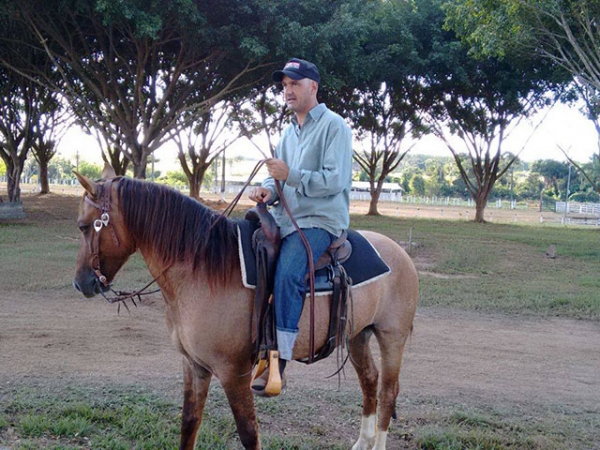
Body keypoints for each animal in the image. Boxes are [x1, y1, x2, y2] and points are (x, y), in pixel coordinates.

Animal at [72, 166, 418, 450]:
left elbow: (248, 434)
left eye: (84, 226)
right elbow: (189, 424)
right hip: (358, 334)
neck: (203, 270)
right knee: (370, 382)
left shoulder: (233, 372)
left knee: (388, 391)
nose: (81, 283)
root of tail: (399, 252)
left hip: (392, 337)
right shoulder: (193, 366)